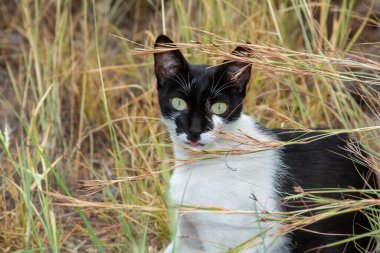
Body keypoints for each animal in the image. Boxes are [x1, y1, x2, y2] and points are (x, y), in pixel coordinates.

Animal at [152, 35, 378, 253]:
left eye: (219, 107)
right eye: (178, 103)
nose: (195, 130)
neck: (196, 167)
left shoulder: (229, 241)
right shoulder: (186, 236)